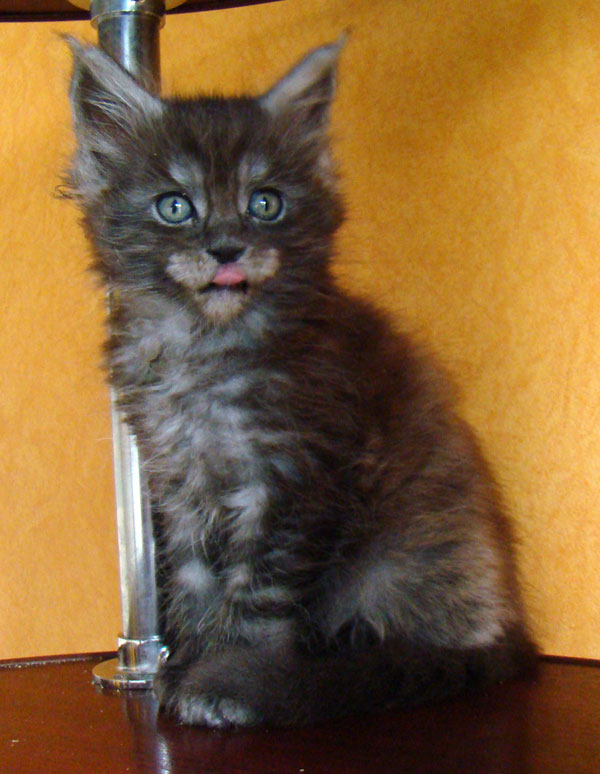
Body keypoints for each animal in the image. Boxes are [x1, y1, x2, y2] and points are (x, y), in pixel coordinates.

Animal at [66, 36, 536, 727]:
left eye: (266, 203)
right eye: (175, 206)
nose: (227, 248)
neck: (206, 349)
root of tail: (514, 634)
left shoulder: (297, 474)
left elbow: (259, 588)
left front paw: (228, 676)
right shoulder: (178, 480)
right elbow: (194, 582)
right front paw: (189, 660)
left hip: (405, 556)